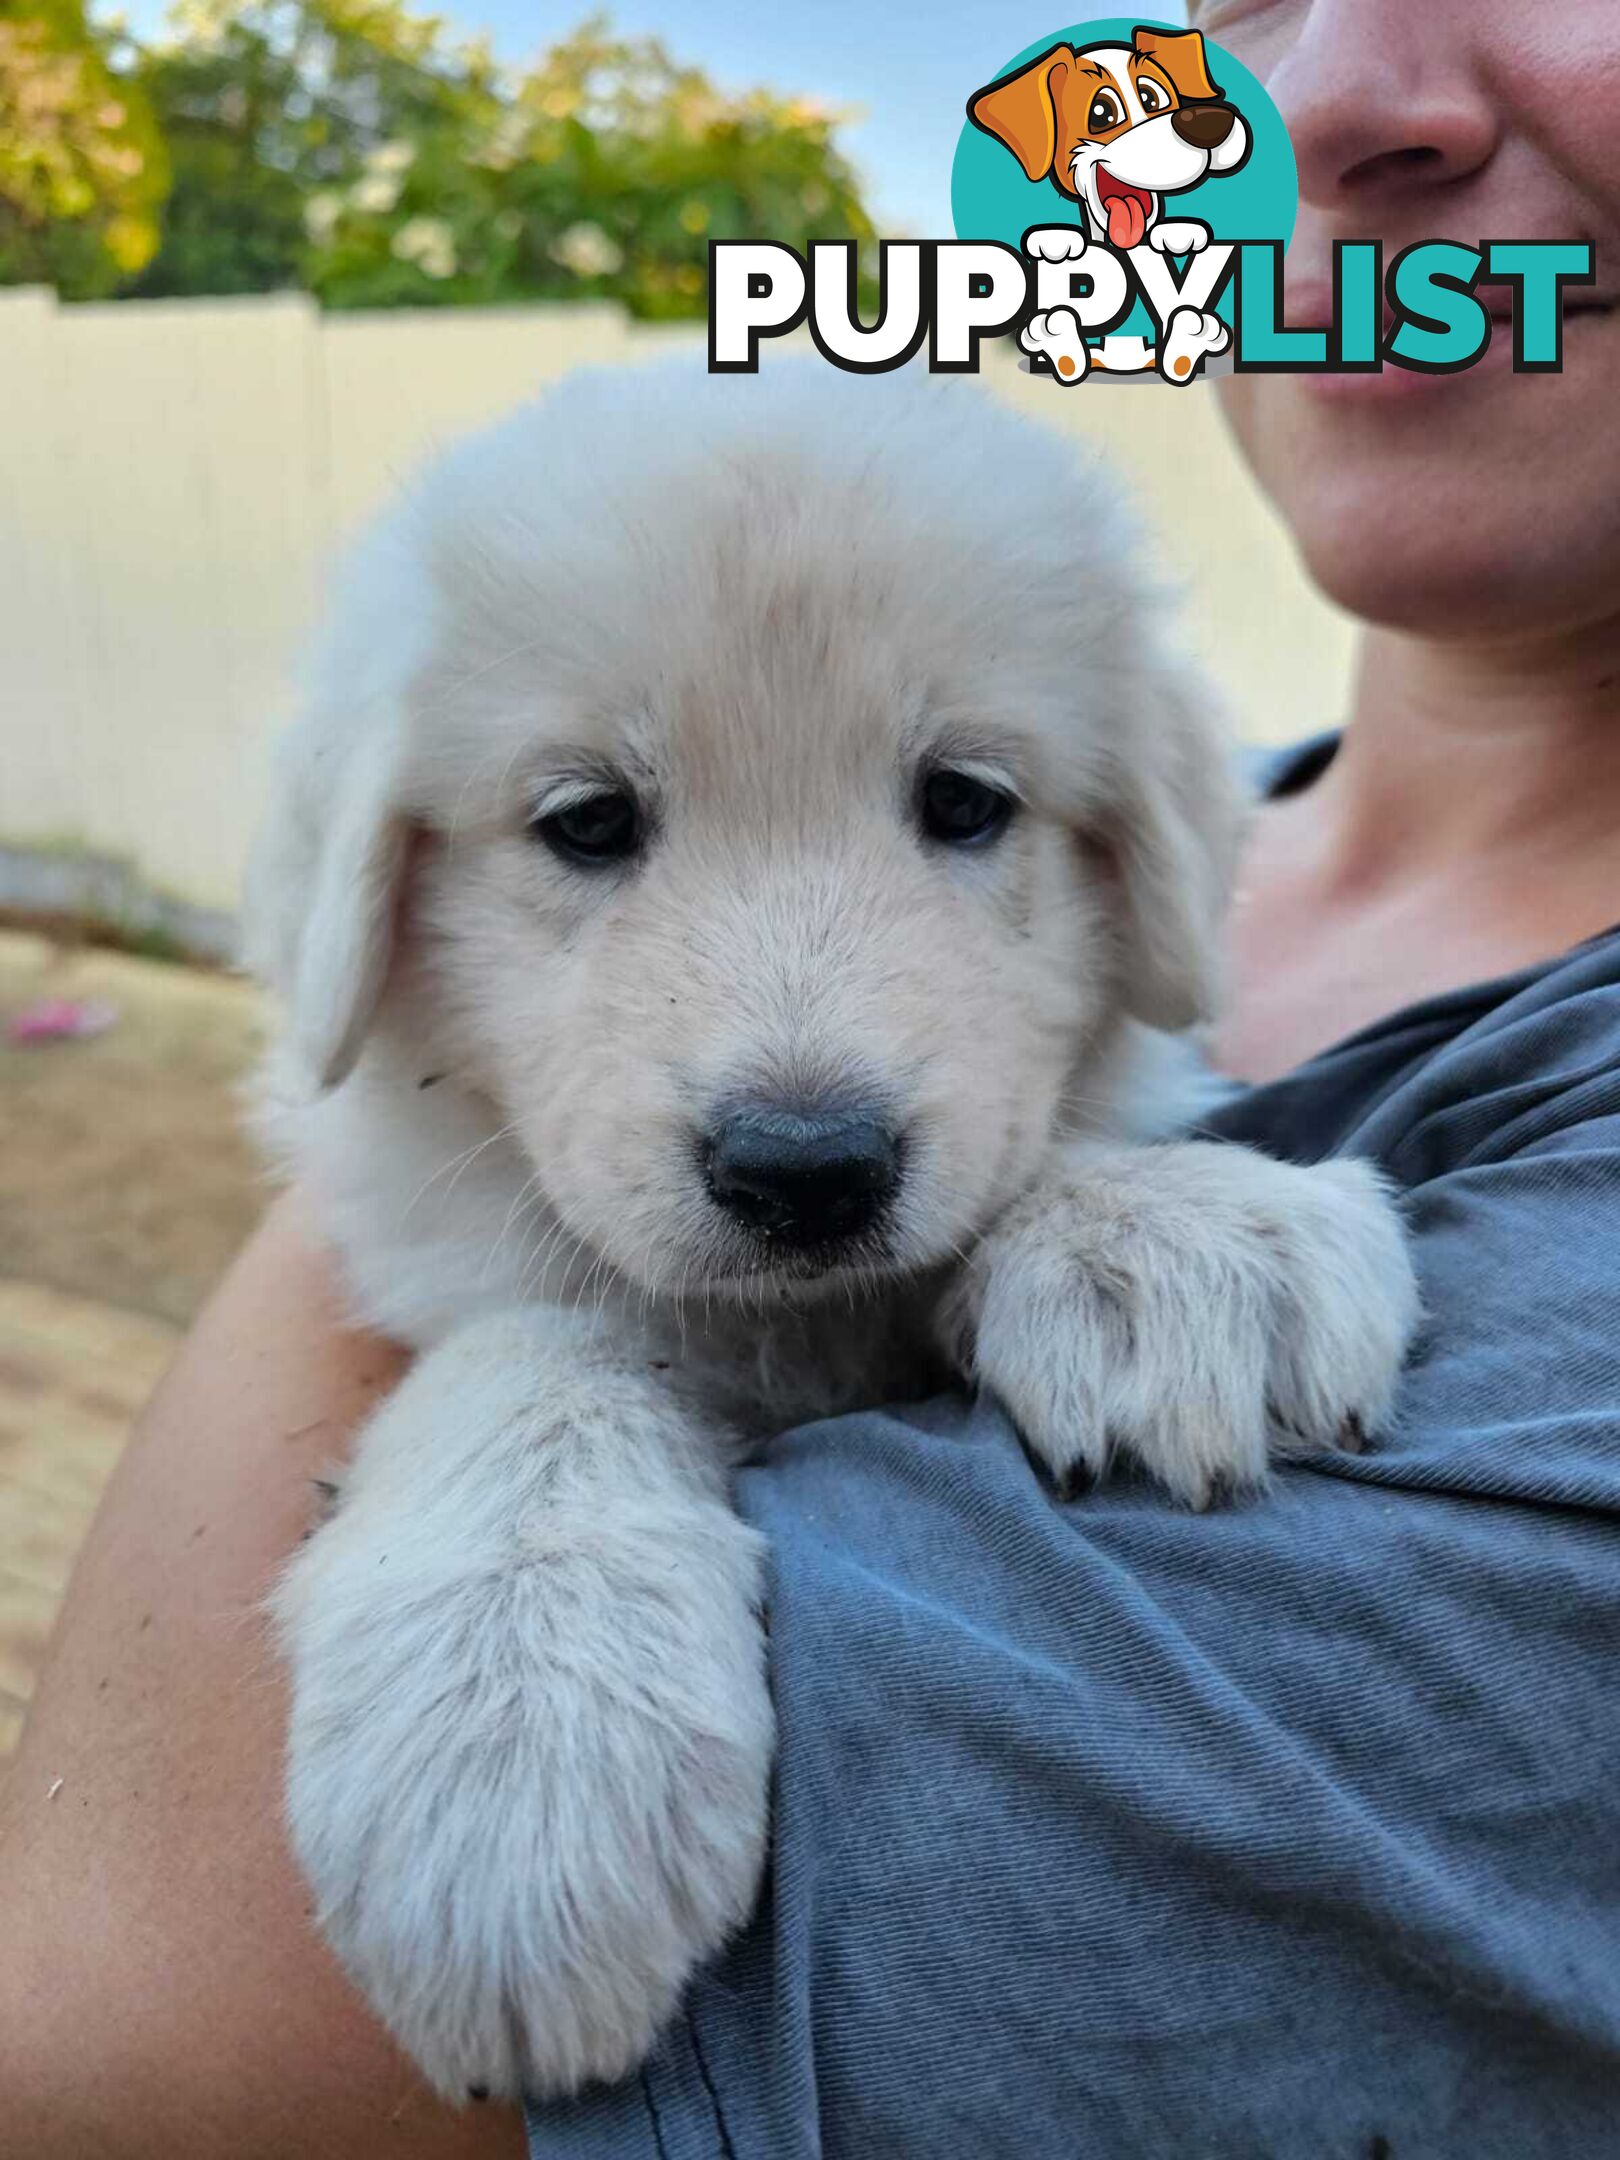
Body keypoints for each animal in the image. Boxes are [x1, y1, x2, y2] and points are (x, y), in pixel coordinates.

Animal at [244, 362, 1416, 2099]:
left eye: (965, 804)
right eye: (588, 822)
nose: (806, 1169)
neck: (797, 1328)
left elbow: (1049, 1143)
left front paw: (1180, 1234)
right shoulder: (459, 1252)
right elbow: (541, 1365)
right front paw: (515, 1744)